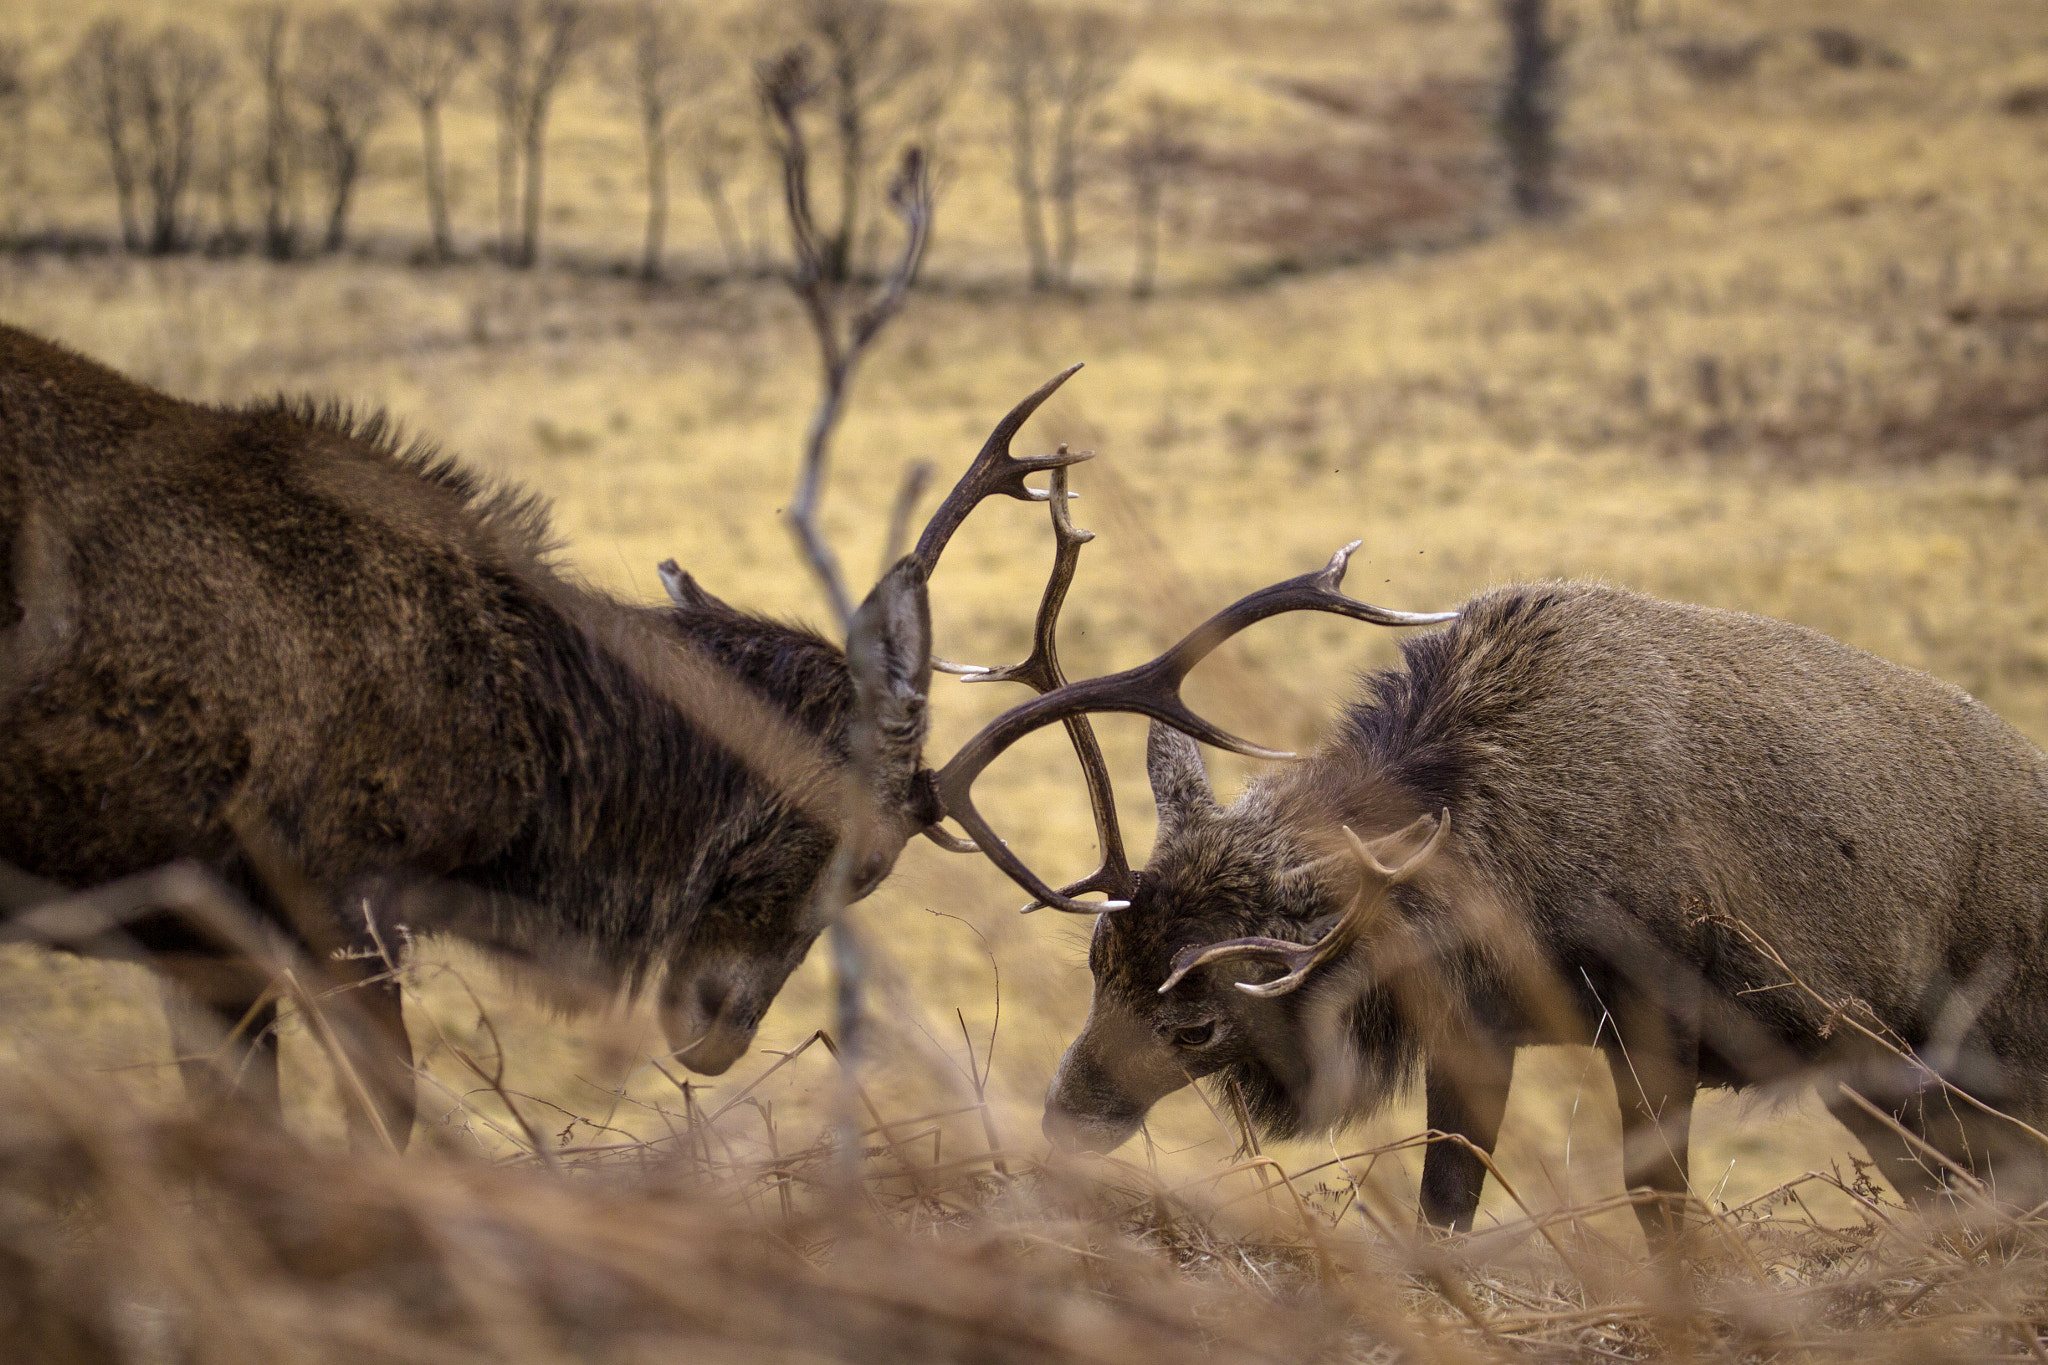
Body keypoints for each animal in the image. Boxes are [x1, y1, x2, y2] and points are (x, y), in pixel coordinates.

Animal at [912, 519, 2048, 1244]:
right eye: (1096, 959)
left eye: (1199, 1020)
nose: (1064, 1119)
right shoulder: (1477, 1028)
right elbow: (1444, 1207)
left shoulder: (1655, 1012)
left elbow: (1658, 1207)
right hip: (1875, 1078)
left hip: (1982, 1047)